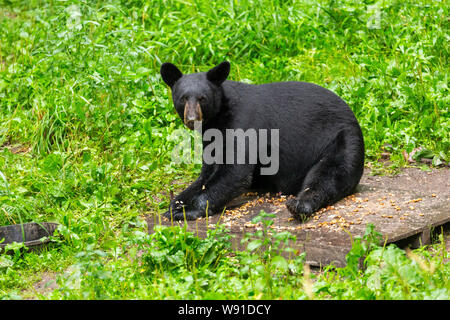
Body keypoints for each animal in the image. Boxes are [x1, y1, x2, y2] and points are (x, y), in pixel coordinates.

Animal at [160, 62, 364, 221]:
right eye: (183, 98)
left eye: (202, 98)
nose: (192, 119)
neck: (218, 118)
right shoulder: (212, 137)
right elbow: (206, 173)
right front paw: (175, 203)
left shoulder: (243, 122)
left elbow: (235, 171)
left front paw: (187, 211)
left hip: (341, 139)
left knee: (330, 174)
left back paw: (299, 205)